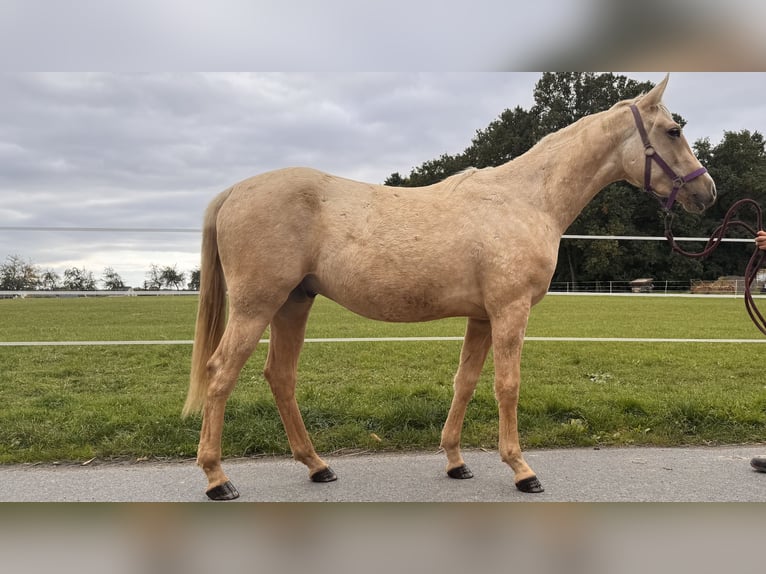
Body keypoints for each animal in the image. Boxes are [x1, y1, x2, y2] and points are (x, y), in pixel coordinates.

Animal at [183, 74, 716, 500]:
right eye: (673, 130)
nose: (706, 192)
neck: (527, 199)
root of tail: (235, 190)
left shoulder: (481, 316)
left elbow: (466, 382)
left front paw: (456, 461)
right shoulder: (509, 310)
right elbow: (507, 385)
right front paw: (522, 469)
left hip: (294, 302)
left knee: (280, 376)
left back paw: (317, 466)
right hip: (256, 305)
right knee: (221, 373)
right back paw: (217, 479)